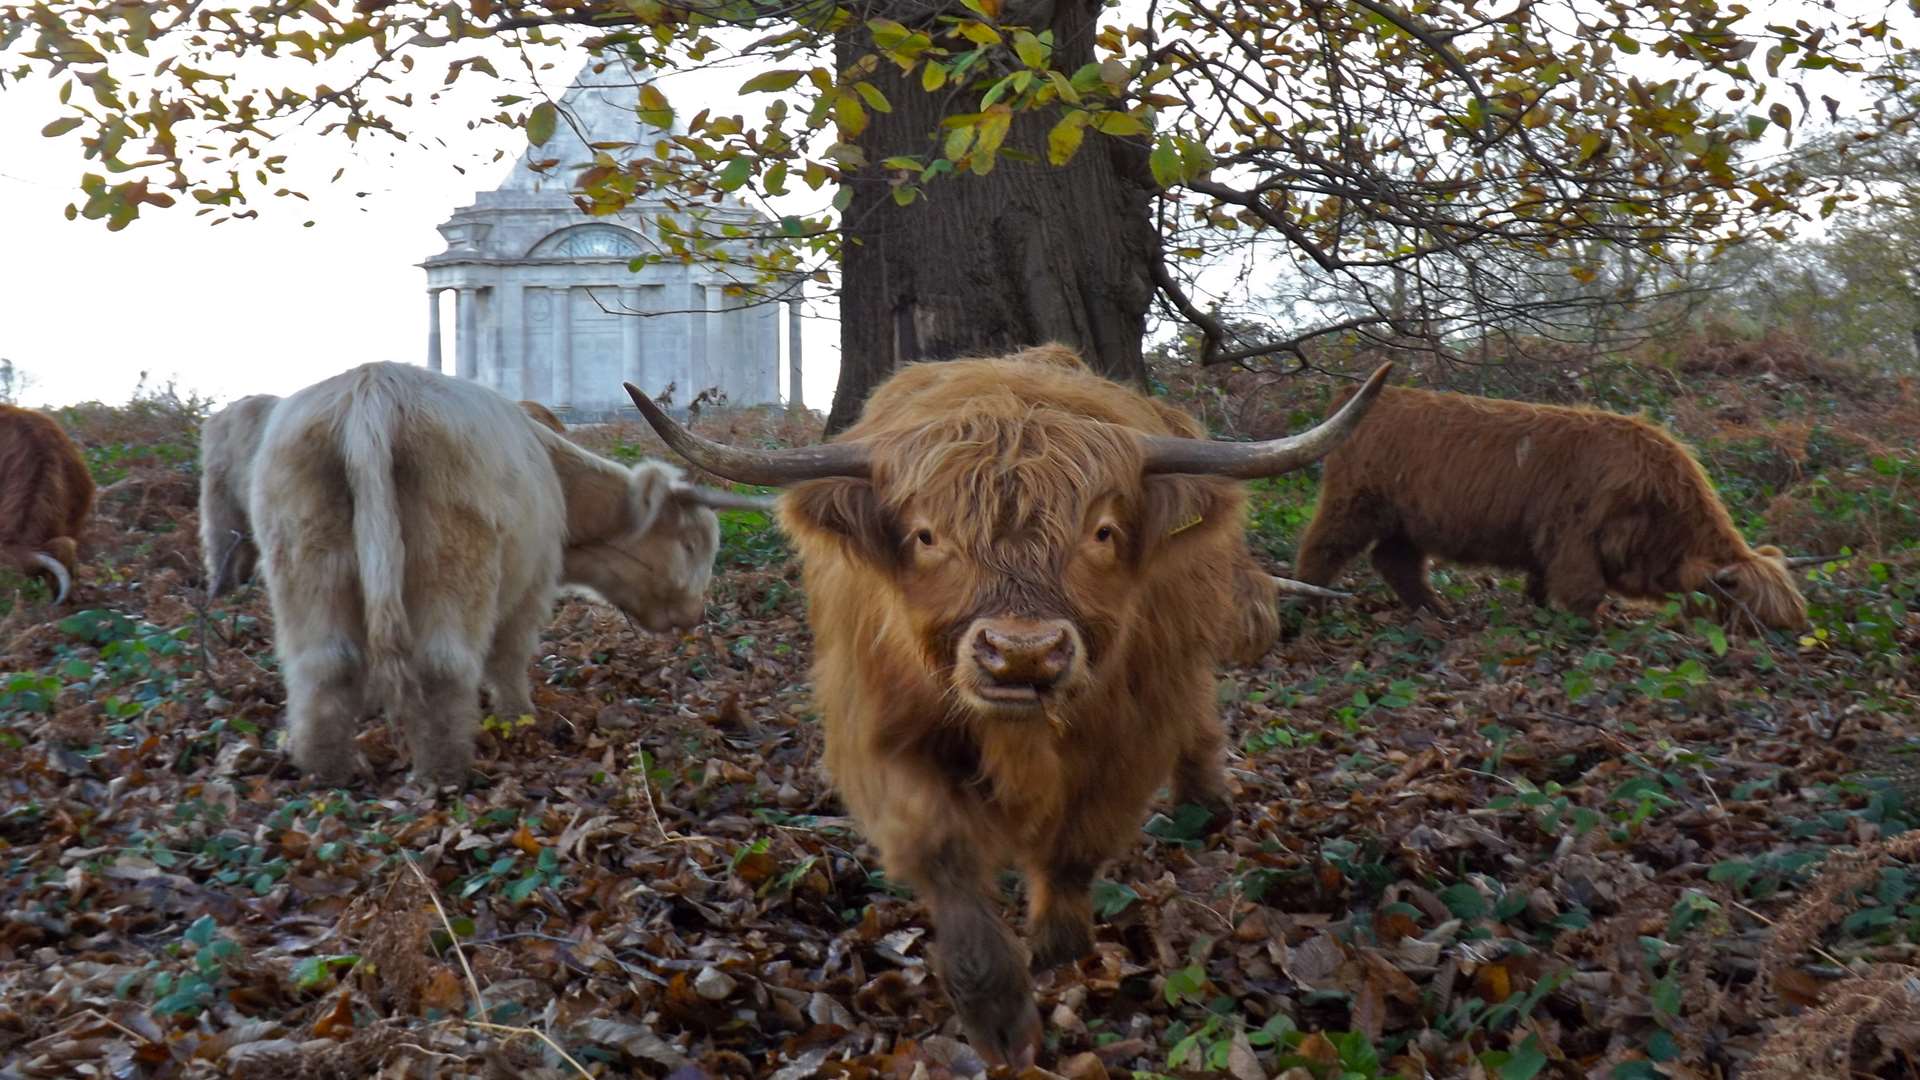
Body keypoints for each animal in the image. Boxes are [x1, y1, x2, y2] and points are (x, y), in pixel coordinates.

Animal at [249, 361, 741, 780]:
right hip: (455, 559)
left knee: (324, 664)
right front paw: (520, 719)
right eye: (693, 545)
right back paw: (445, 774)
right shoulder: (533, 586)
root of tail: (371, 393)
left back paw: (328, 775)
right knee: (441, 665)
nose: (696, 614)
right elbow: (508, 657)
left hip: (307, 557)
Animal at [629, 342, 1397, 1060]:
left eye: (1102, 531)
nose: (1022, 652)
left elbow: (1077, 846)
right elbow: (941, 850)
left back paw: (1203, 806)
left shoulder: (1130, 733)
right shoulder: (881, 731)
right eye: (926, 534)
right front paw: (999, 1016)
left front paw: (1058, 954)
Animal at [1297, 382, 1820, 626]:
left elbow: (1540, 587)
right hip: (1354, 504)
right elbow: (1583, 594)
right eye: (1756, 619)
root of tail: (1364, 396)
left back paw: (1437, 613)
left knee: (1396, 561)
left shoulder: (1546, 546)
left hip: (1407, 521)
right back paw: (1310, 610)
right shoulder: (1575, 540)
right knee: (1321, 550)